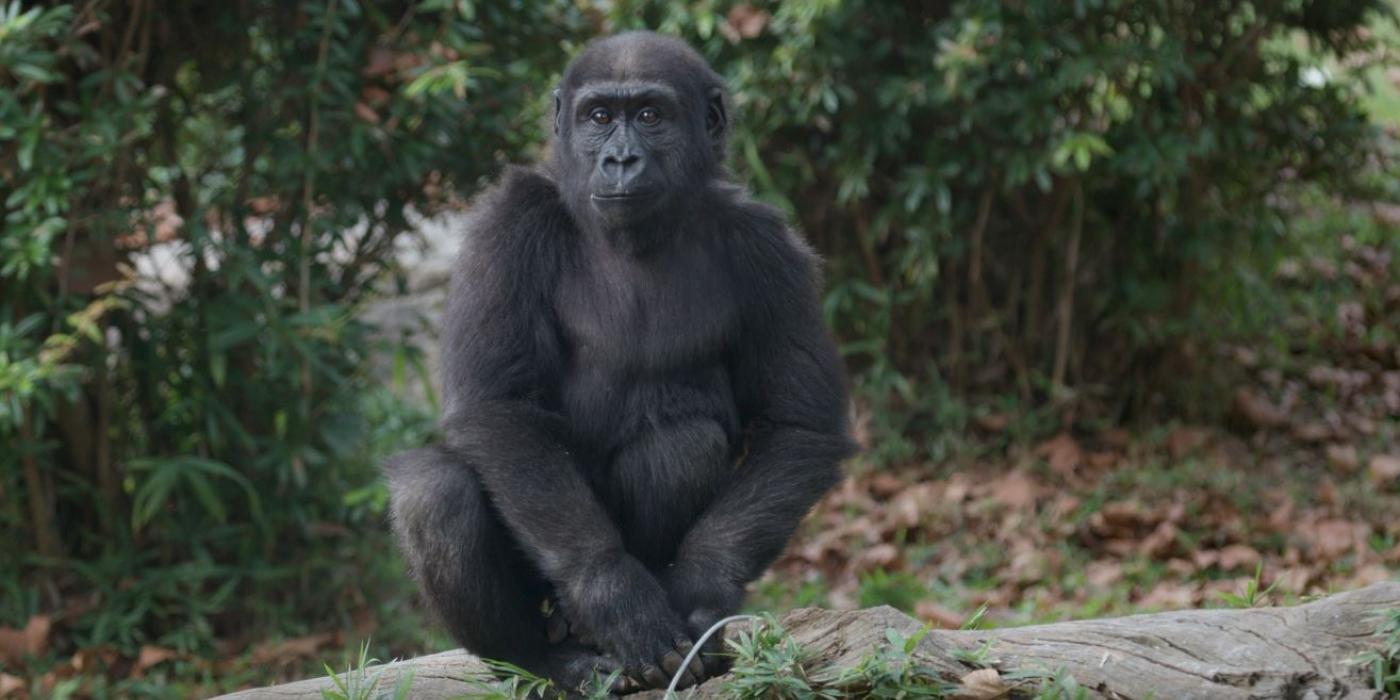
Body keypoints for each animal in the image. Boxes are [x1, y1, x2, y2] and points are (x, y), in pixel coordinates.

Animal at [383, 30, 851, 691]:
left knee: (680, 443)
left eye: (650, 116)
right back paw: (544, 657)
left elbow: (798, 426)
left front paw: (700, 586)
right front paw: (613, 595)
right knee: (434, 494)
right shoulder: (509, 221)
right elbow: (497, 408)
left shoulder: (769, 248)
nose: (621, 160)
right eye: (599, 117)